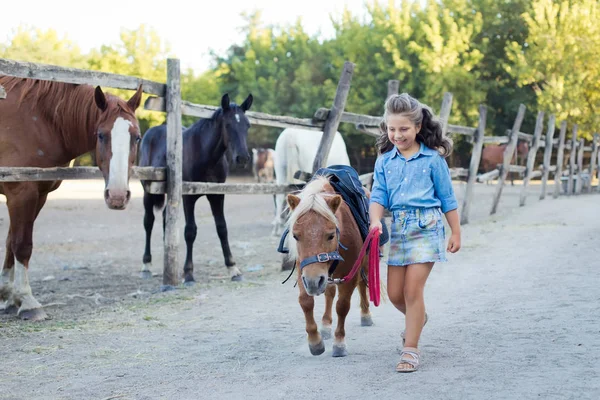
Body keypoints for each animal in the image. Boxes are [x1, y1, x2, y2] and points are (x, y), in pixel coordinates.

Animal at [0, 76, 143, 322]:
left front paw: (8, 296)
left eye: (137, 137)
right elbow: (22, 244)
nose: (117, 196)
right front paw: (27, 301)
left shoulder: (38, 195)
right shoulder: (21, 193)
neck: (39, 121)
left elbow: (11, 242)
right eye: (101, 135)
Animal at [139, 93, 253, 282]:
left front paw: (233, 268)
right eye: (228, 125)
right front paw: (189, 273)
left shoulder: (217, 195)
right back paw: (146, 265)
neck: (205, 155)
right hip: (148, 191)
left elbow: (222, 228)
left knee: (165, 219)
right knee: (149, 222)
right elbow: (190, 231)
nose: (242, 158)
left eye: (247, 125)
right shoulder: (188, 197)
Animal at [284, 175, 376, 356]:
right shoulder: (304, 271)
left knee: (363, 284)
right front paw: (315, 341)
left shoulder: (350, 275)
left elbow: (342, 306)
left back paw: (366, 315)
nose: (313, 281)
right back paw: (325, 325)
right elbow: (306, 301)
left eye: (331, 235)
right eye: (296, 236)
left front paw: (339, 343)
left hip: (365, 262)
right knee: (329, 293)